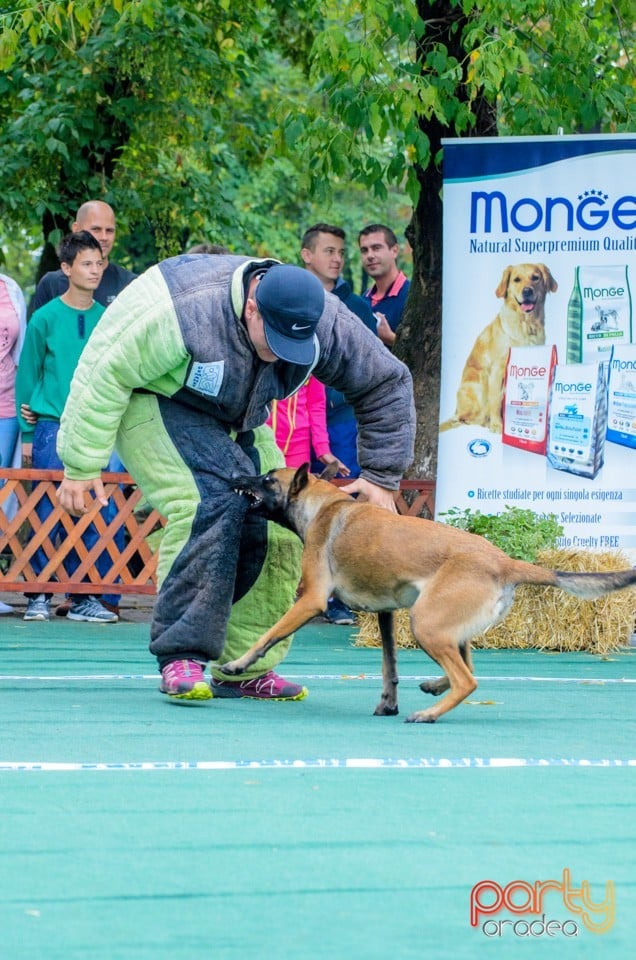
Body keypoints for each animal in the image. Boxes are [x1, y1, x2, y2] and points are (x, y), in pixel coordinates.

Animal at [225, 464, 636, 720]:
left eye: (266, 479)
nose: (233, 476)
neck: (326, 504)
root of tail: (504, 562)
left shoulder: (310, 600)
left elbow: (268, 636)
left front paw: (237, 665)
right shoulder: (386, 614)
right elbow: (389, 665)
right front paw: (388, 704)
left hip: (426, 623)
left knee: (468, 679)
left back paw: (428, 714)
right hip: (444, 626)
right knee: (467, 668)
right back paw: (434, 688)